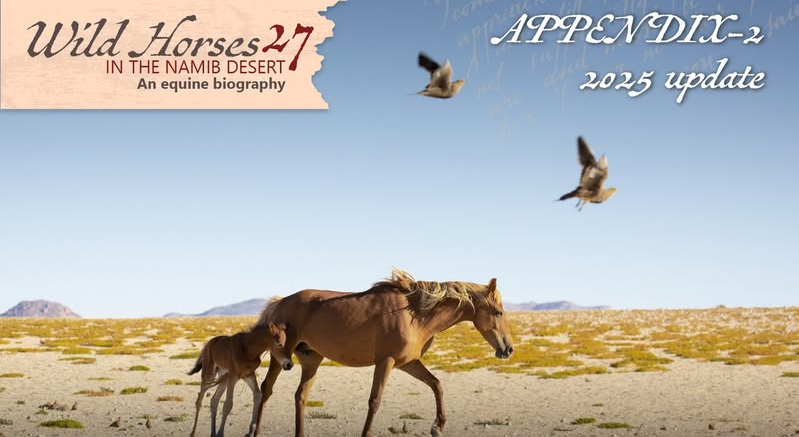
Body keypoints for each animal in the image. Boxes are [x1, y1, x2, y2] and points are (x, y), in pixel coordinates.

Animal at [248, 269, 514, 437]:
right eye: (499, 312)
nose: (508, 349)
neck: (415, 314)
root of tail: (281, 302)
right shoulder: (385, 361)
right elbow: (374, 401)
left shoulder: (408, 363)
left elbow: (437, 385)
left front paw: (437, 427)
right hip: (280, 357)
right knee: (266, 390)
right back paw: (254, 430)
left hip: (311, 360)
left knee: (300, 396)